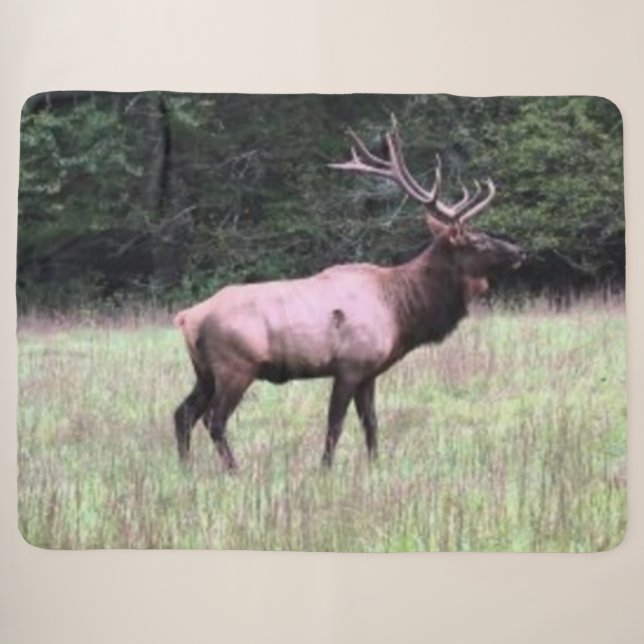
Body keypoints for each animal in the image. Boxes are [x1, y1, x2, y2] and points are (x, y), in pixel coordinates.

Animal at [173, 118, 525, 470]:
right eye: (477, 240)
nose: (519, 250)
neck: (401, 312)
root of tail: (187, 317)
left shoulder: (369, 372)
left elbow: (371, 422)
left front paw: (375, 465)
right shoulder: (350, 365)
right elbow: (335, 424)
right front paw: (326, 469)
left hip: (205, 371)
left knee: (183, 412)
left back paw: (185, 468)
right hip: (236, 366)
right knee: (214, 420)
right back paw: (234, 469)